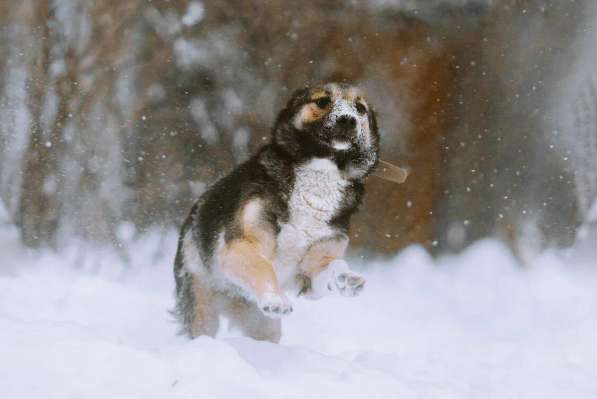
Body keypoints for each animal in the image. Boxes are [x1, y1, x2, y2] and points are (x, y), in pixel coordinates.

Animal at [170, 83, 380, 342]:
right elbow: (263, 266)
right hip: (202, 305)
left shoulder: (309, 276)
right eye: (323, 101)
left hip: (263, 326)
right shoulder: (241, 246)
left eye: (360, 108)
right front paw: (276, 299)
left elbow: (332, 267)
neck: (320, 175)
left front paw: (345, 278)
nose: (348, 119)